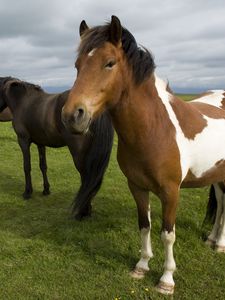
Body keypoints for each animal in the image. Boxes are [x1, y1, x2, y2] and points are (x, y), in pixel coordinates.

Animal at [0, 76, 113, 219]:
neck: (22, 101)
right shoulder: (40, 143)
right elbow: (43, 166)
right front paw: (46, 189)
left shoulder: (23, 140)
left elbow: (26, 166)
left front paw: (27, 192)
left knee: (86, 176)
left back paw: (82, 212)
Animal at [62, 15, 225, 292]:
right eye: (77, 65)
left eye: (109, 63)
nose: (73, 115)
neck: (153, 129)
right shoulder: (137, 187)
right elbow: (145, 226)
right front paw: (141, 266)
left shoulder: (171, 192)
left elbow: (167, 234)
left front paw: (166, 279)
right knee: (223, 202)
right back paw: (212, 240)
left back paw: (220, 244)